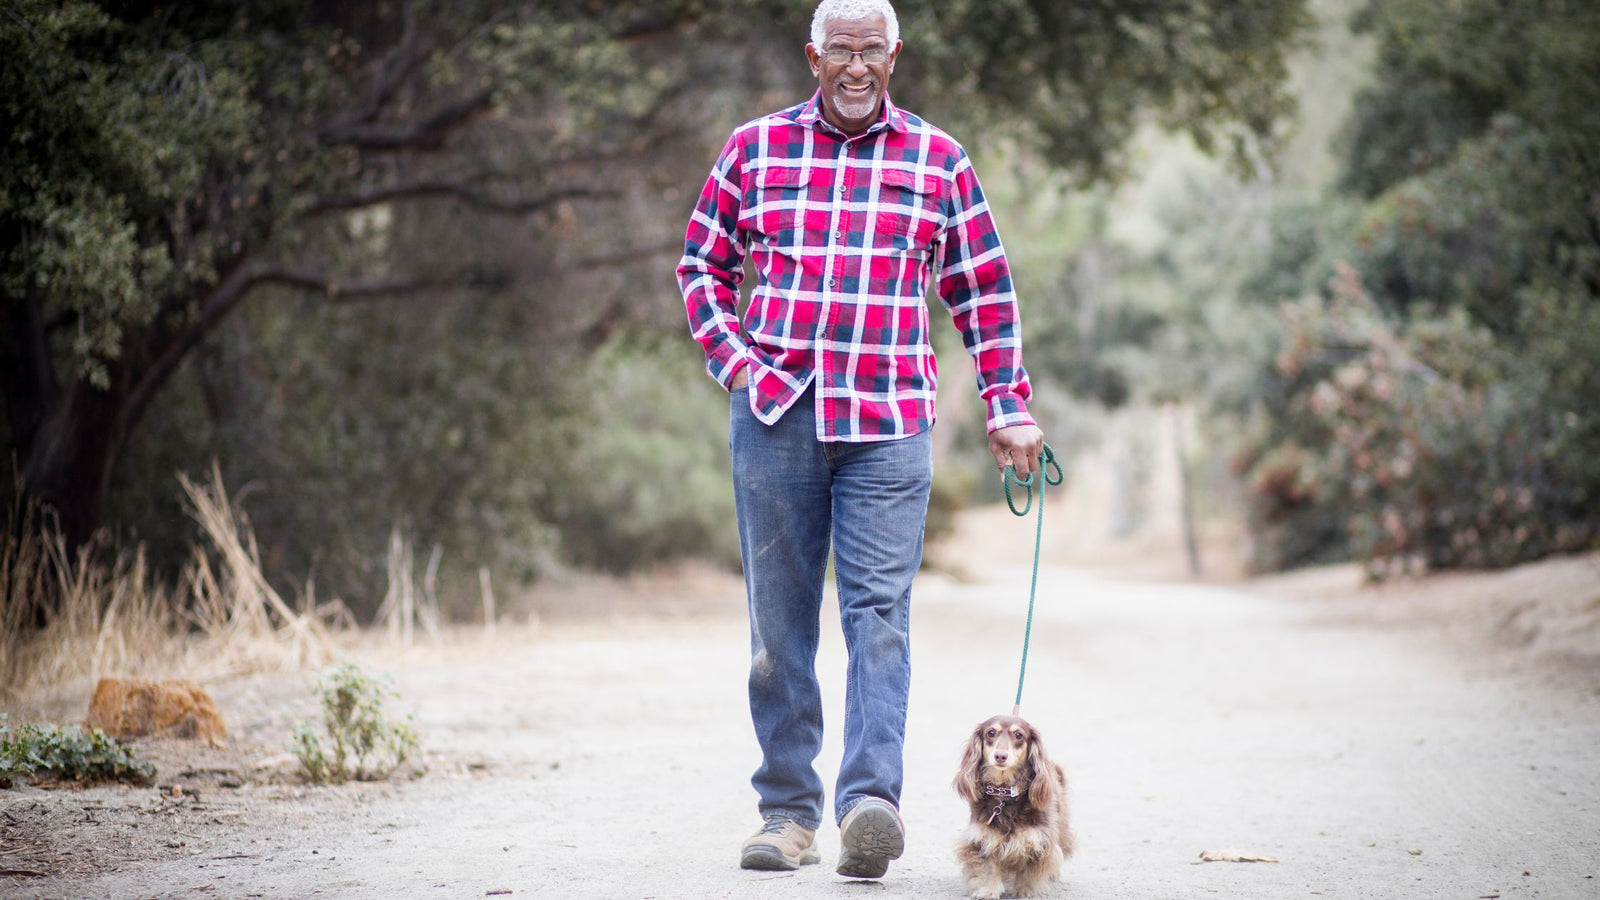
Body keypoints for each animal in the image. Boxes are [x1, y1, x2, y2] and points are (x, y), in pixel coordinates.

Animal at [947, 711, 1075, 890]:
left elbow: (1029, 874)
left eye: (1019, 735)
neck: (1005, 794)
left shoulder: (1038, 841)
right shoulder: (982, 839)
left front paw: (1025, 891)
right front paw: (988, 891)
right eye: (991, 732)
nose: (1000, 756)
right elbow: (988, 868)